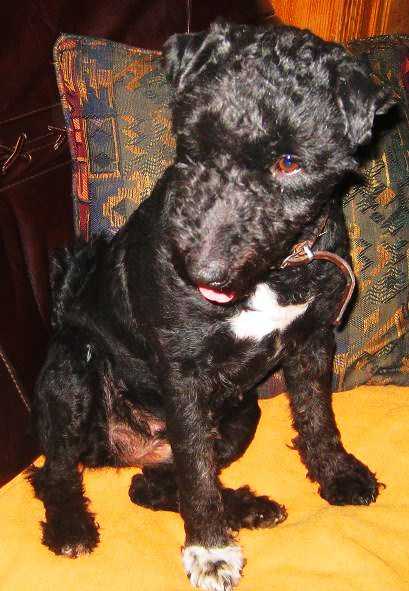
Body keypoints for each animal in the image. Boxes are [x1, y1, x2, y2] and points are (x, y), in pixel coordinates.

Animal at [28, 22, 393, 591]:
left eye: (289, 162)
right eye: (193, 143)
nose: (200, 270)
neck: (276, 271)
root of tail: (130, 446)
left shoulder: (312, 341)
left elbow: (317, 416)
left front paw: (337, 473)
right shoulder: (182, 374)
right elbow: (197, 477)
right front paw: (210, 551)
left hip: (240, 415)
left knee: (151, 485)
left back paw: (248, 507)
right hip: (74, 374)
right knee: (57, 471)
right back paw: (71, 528)